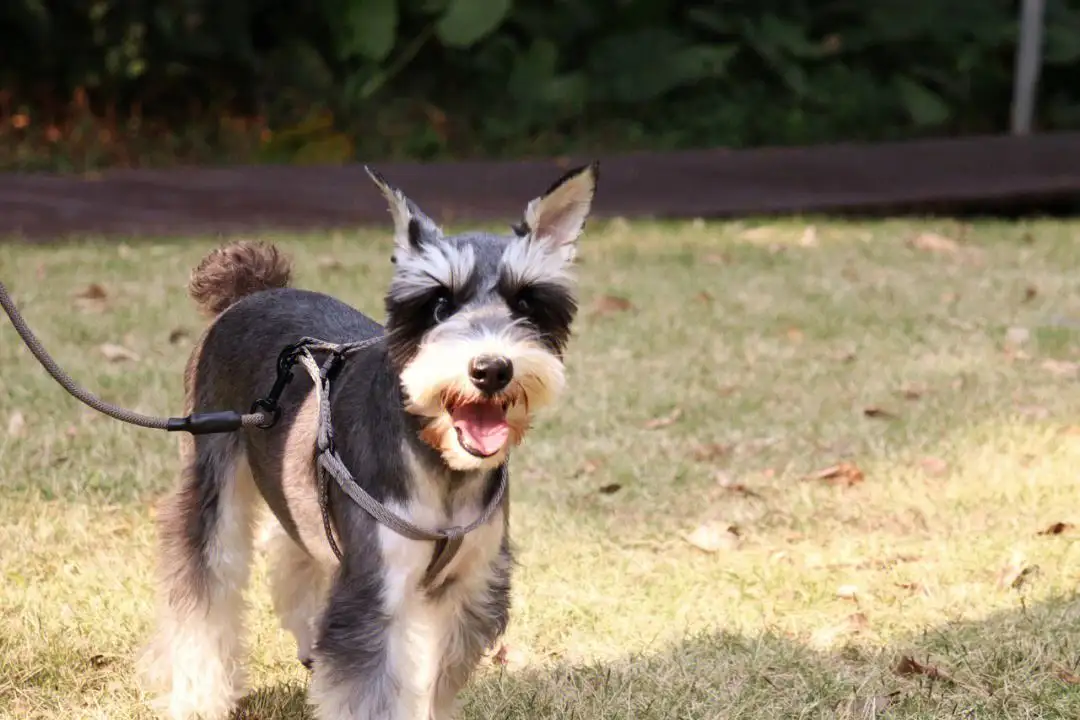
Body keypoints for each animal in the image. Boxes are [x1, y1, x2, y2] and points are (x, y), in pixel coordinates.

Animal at [137, 165, 600, 720]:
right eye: (437, 304)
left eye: (527, 301)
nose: (491, 369)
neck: (437, 460)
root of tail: (252, 292)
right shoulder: (373, 596)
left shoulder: (466, 591)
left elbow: (433, 684)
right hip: (210, 483)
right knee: (204, 585)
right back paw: (199, 696)